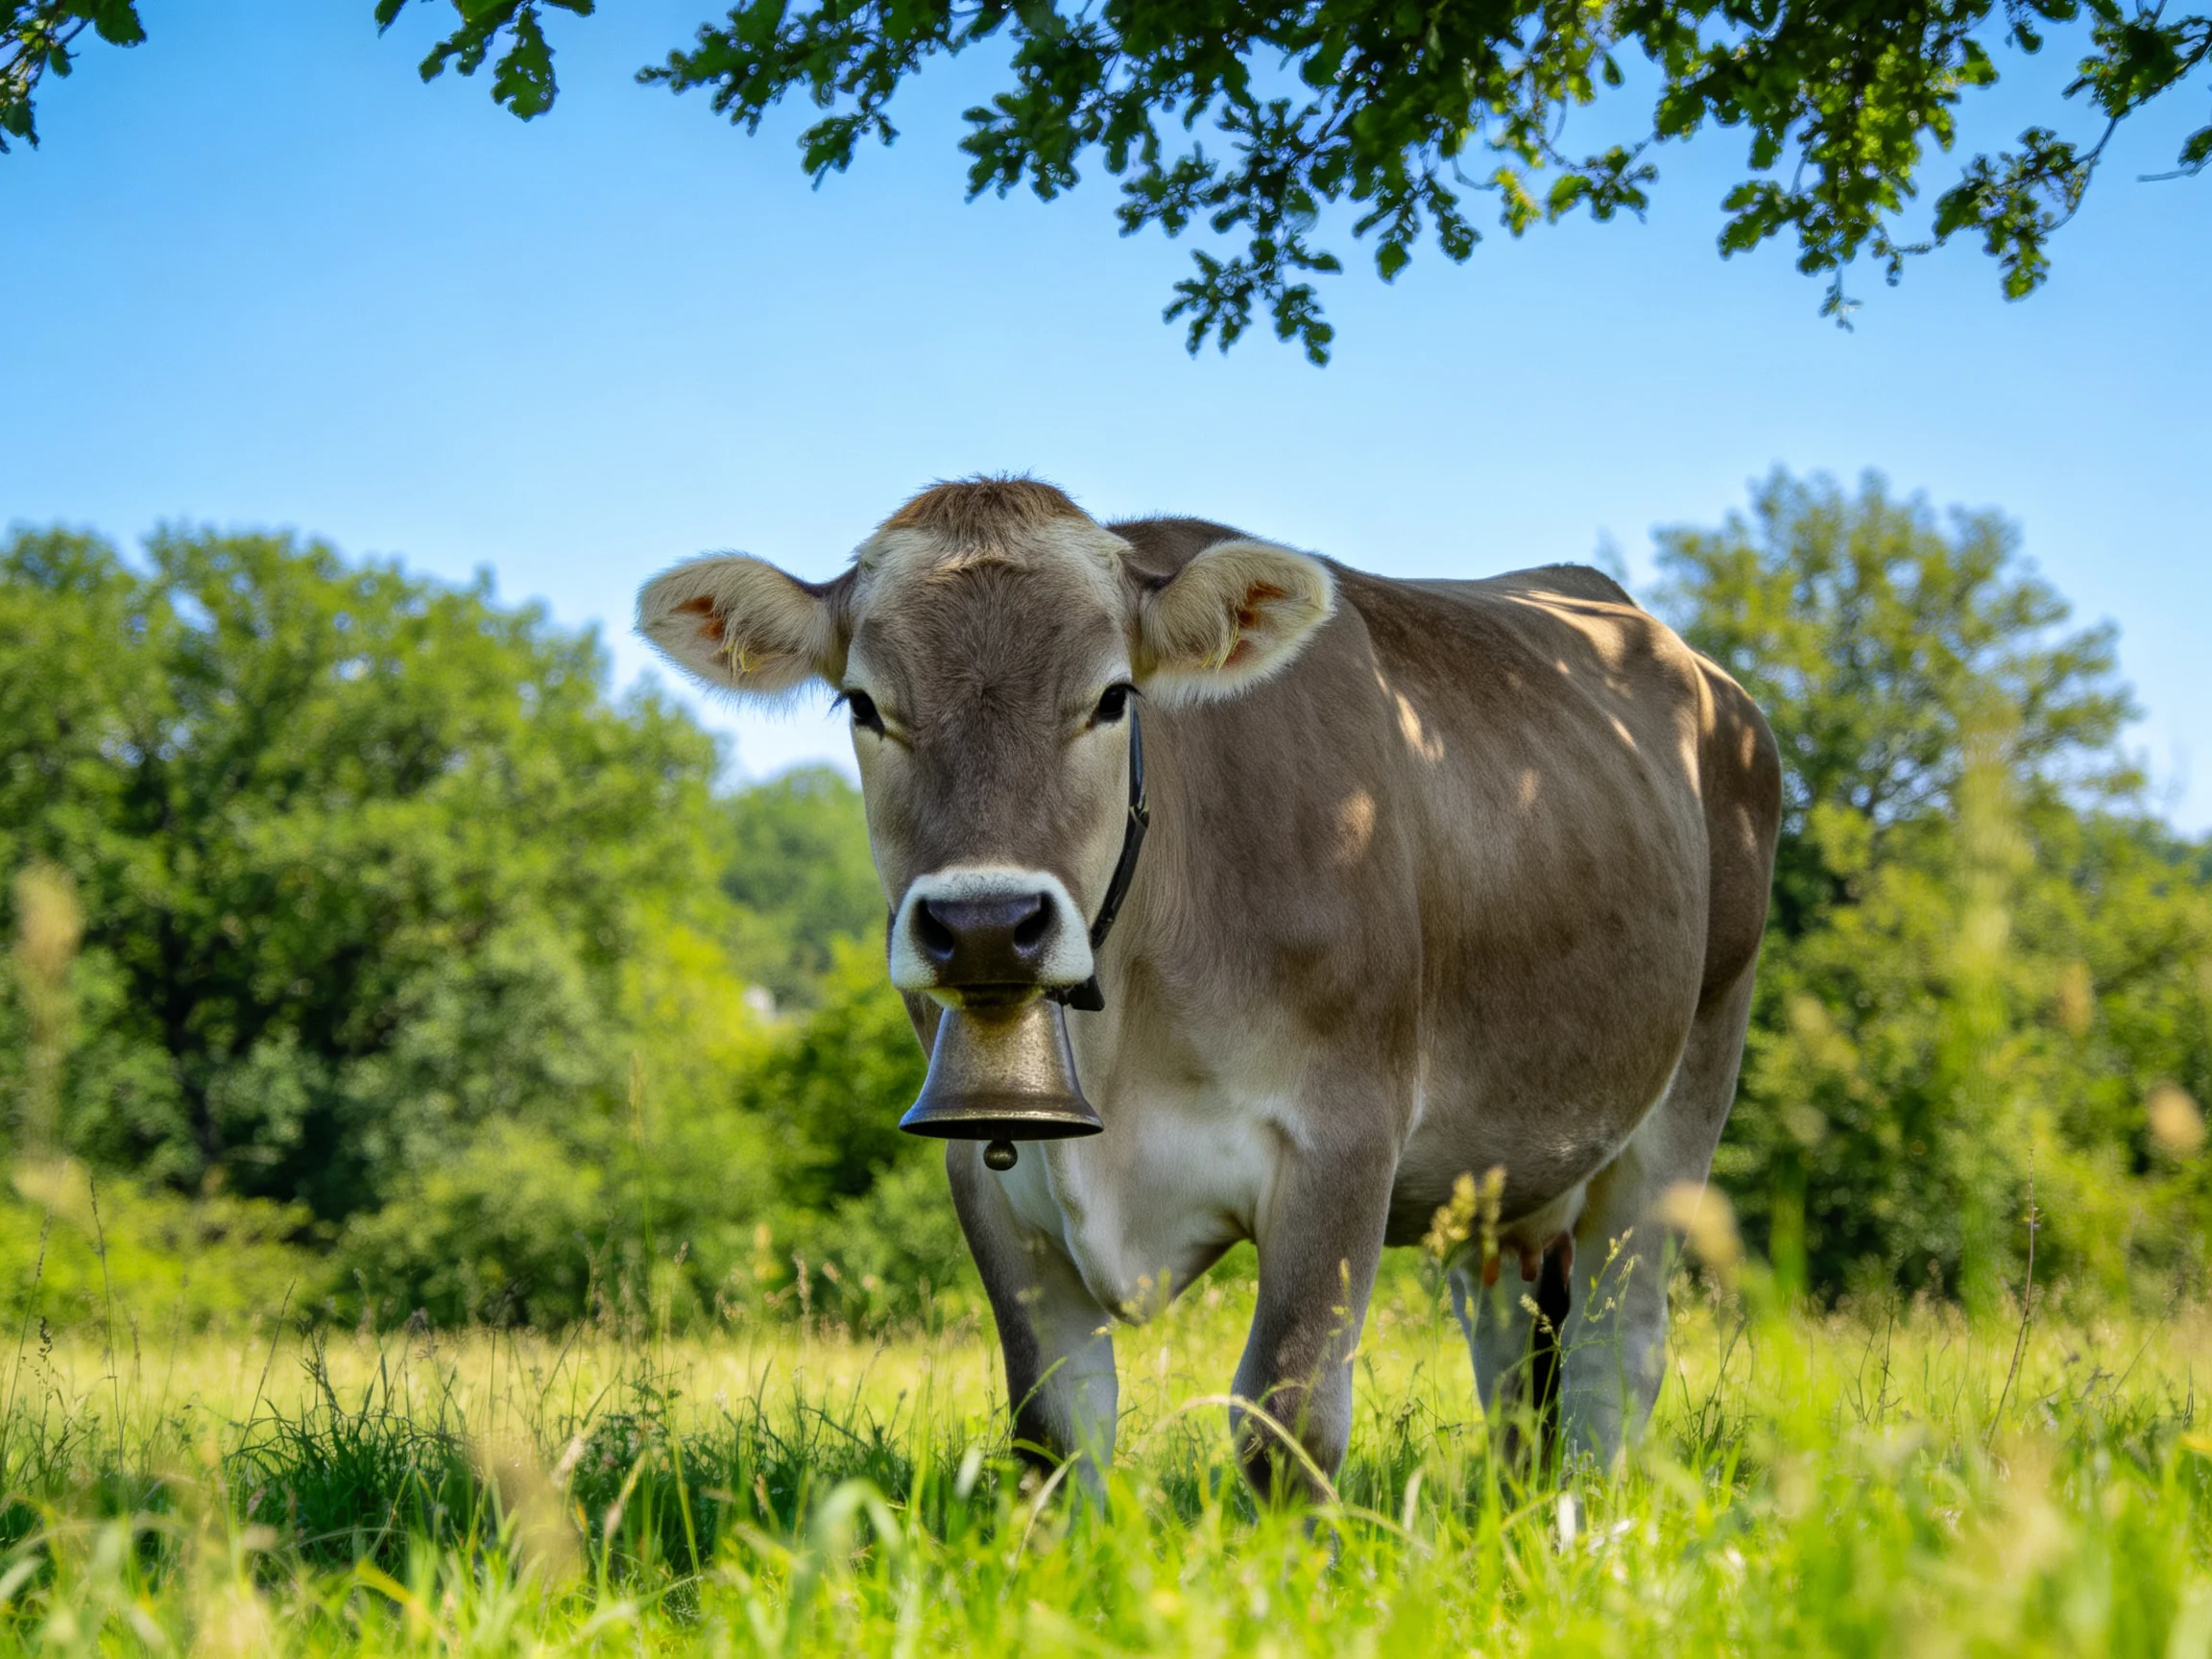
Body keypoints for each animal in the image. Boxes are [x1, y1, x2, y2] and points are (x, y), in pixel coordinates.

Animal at [638, 477, 1781, 1492]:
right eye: (864, 705)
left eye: (1113, 698)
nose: (984, 927)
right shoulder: (990, 1176)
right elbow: (1054, 1432)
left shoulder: (1343, 1138)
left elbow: (1288, 1422)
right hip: (1502, 1182)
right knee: (1510, 1368)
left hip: (1689, 1089)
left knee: (1615, 1356)